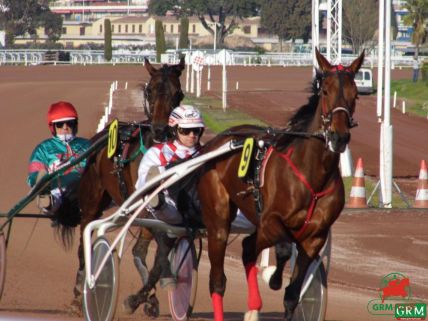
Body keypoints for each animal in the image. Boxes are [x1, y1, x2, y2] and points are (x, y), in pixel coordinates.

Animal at [68, 56, 186, 312]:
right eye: (149, 91)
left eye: (178, 93)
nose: (161, 130)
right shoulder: (145, 207)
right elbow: (159, 249)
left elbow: (156, 249)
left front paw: (146, 297)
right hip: (91, 201)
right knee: (84, 239)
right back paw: (80, 290)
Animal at [197, 48, 364, 320]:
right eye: (325, 91)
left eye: (356, 94)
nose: (339, 137)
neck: (313, 173)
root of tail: (216, 142)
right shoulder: (270, 220)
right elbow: (284, 249)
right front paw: (274, 278)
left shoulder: (314, 238)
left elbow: (292, 296)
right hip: (219, 219)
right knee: (218, 280)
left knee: (247, 247)